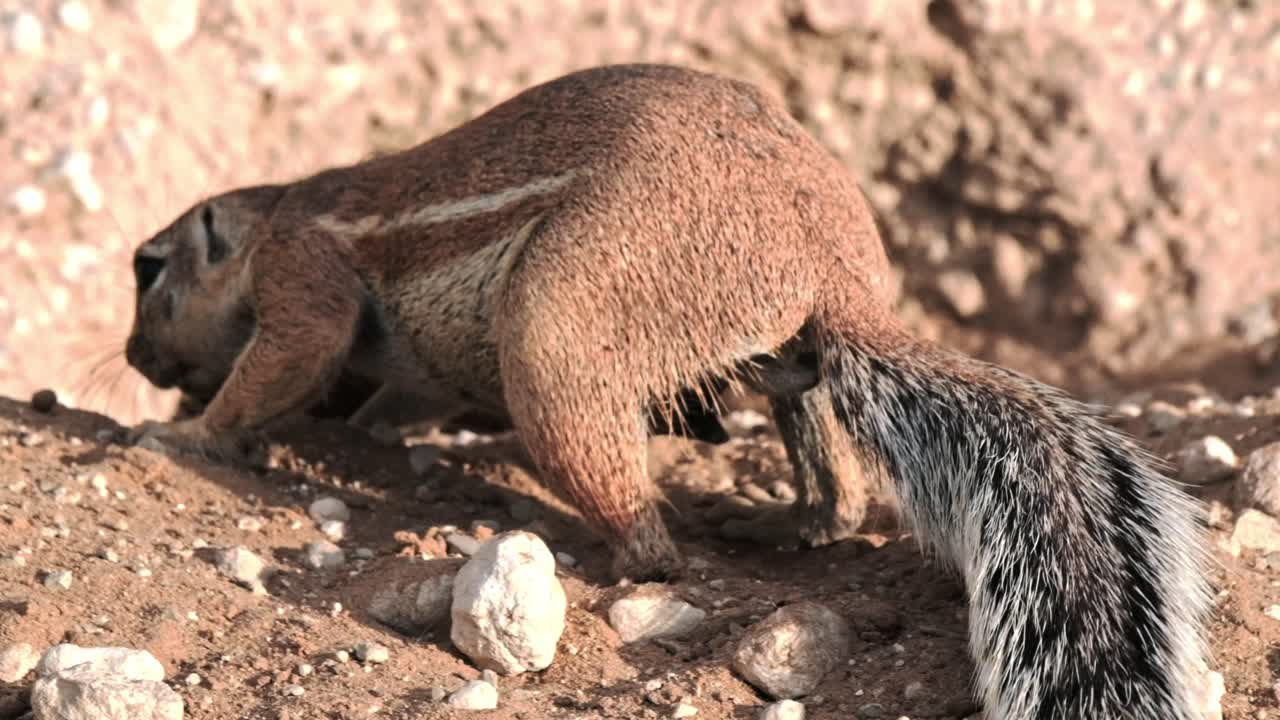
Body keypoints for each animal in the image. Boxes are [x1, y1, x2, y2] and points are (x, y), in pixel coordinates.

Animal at [123, 63, 1210, 718]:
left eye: (148, 267)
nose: (132, 358)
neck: (272, 217)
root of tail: (835, 266)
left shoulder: (302, 272)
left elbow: (291, 358)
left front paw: (183, 437)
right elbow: (392, 400)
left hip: (558, 319)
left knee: (645, 528)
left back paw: (603, 558)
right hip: (786, 364)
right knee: (834, 481)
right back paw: (776, 524)